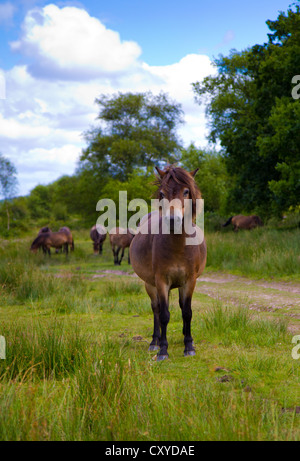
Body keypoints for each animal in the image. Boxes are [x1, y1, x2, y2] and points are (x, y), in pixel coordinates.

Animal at [130, 165, 207, 360]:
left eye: (186, 191)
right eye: (162, 193)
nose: (173, 220)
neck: (178, 246)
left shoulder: (190, 281)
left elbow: (187, 312)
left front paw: (189, 345)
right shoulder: (161, 281)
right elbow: (164, 314)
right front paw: (163, 350)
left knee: (180, 306)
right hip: (150, 284)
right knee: (156, 308)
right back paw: (154, 342)